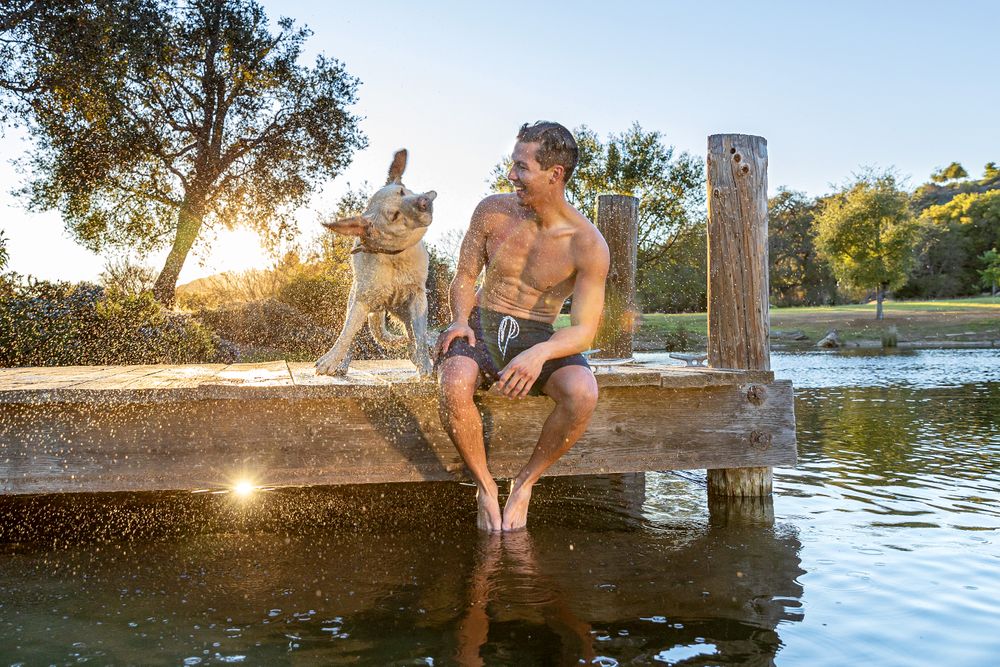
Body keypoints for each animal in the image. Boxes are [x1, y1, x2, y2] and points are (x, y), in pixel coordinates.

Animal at [314, 152, 436, 380]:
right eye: (394, 215)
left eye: (402, 191)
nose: (423, 201)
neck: (396, 257)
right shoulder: (362, 301)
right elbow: (346, 334)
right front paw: (330, 360)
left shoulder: (417, 297)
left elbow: (420, 336)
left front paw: (425, 366)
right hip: (358, 301)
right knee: (352, 338)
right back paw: (342, 365)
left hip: (402, 311)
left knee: (411, 336)